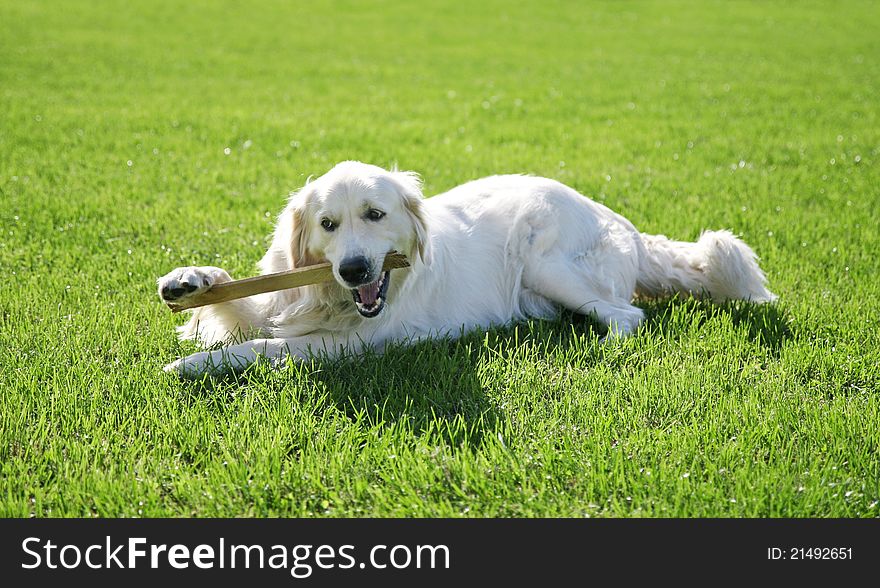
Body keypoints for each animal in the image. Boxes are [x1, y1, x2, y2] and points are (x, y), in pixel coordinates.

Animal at [160, 160, 776, 376]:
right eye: (328, 225)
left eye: (375, 215)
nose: (355, 270)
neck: (331, 300)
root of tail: (620, 221)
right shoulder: (282, 299)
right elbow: (235, 305)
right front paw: (189, 281)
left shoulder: (353, 343)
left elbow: (260, 347)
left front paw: (191, 365)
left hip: (546, 263)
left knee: (625, 316)